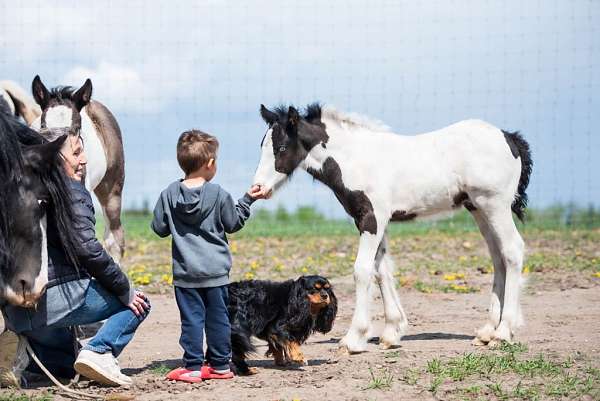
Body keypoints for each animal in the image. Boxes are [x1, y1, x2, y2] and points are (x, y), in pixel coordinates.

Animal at [251, 104, 532, 354]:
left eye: (281, 147)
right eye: (261, 146)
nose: (257, 189)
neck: (356, 158)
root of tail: (509, 137)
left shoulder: (372, 218)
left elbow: (362, 271)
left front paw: (353, 338)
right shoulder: (371, 221)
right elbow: (382, 270)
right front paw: (391, 334)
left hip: (495, 205)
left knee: (512, 251)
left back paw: (503, 333)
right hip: (478, 209)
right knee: (497, 258)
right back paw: (486, 332)